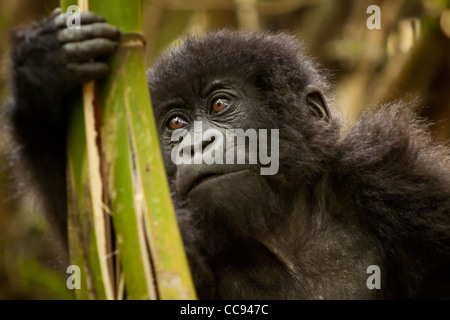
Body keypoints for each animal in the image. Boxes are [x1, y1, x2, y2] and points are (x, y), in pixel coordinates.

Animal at [3, 10, 450, 300]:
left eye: (219, 104)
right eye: (176, 123)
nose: (194, 145)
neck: (286, 233)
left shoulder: (393, 176)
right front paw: (45, 81)